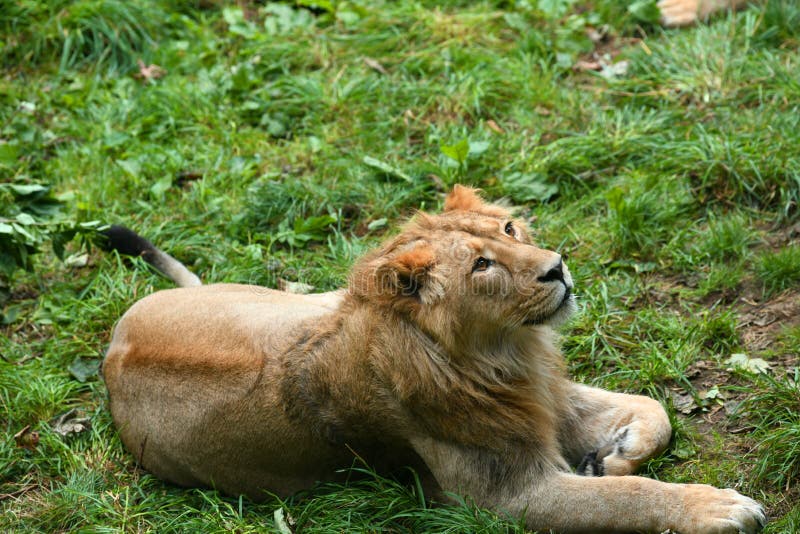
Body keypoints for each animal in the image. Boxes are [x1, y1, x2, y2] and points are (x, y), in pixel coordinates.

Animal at [103, 186, 764, 532]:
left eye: (509, 229)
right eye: (482, 266)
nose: (558, 268)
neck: (507, 349)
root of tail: (113, 351)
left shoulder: (546, 398)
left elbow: (653, 408)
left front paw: (615, 454)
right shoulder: (505, 495)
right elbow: (627, 499)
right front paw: (718, 506)